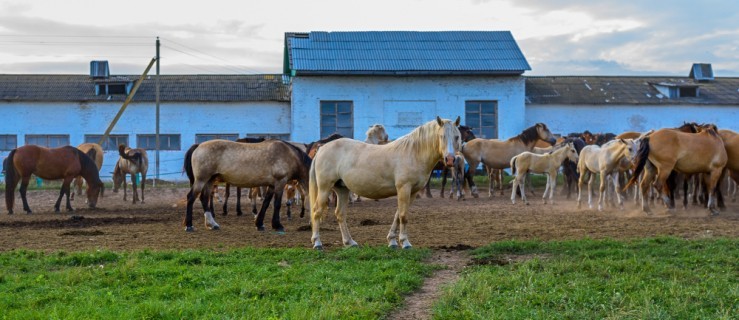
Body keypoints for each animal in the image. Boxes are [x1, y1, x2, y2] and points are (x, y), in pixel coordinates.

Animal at [186, 139, 314, 231]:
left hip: (209, 181)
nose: (311, 225)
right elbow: (277, 204)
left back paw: (212, 224)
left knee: (204, 199)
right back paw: (189, 225)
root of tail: (198, 145)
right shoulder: (280, 182)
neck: (290, 155)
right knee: (191, 198)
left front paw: (259, 224)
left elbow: (266, 203)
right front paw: (277, 225)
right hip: (201, 180)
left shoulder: (272, 185)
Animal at [310, 116, 462, 249]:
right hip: (324, 188)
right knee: (317, 211)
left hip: (342, 189)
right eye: (441, 136)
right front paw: (405, 243)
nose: (450, 159)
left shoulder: (412, 192)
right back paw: (317, 243)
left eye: (456, 137)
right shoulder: (404, 188)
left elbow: (398, 215)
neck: (413, 153)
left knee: (340, 214)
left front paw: (392, 241)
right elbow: (403, 216)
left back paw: (350, 242)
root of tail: (321, 149)